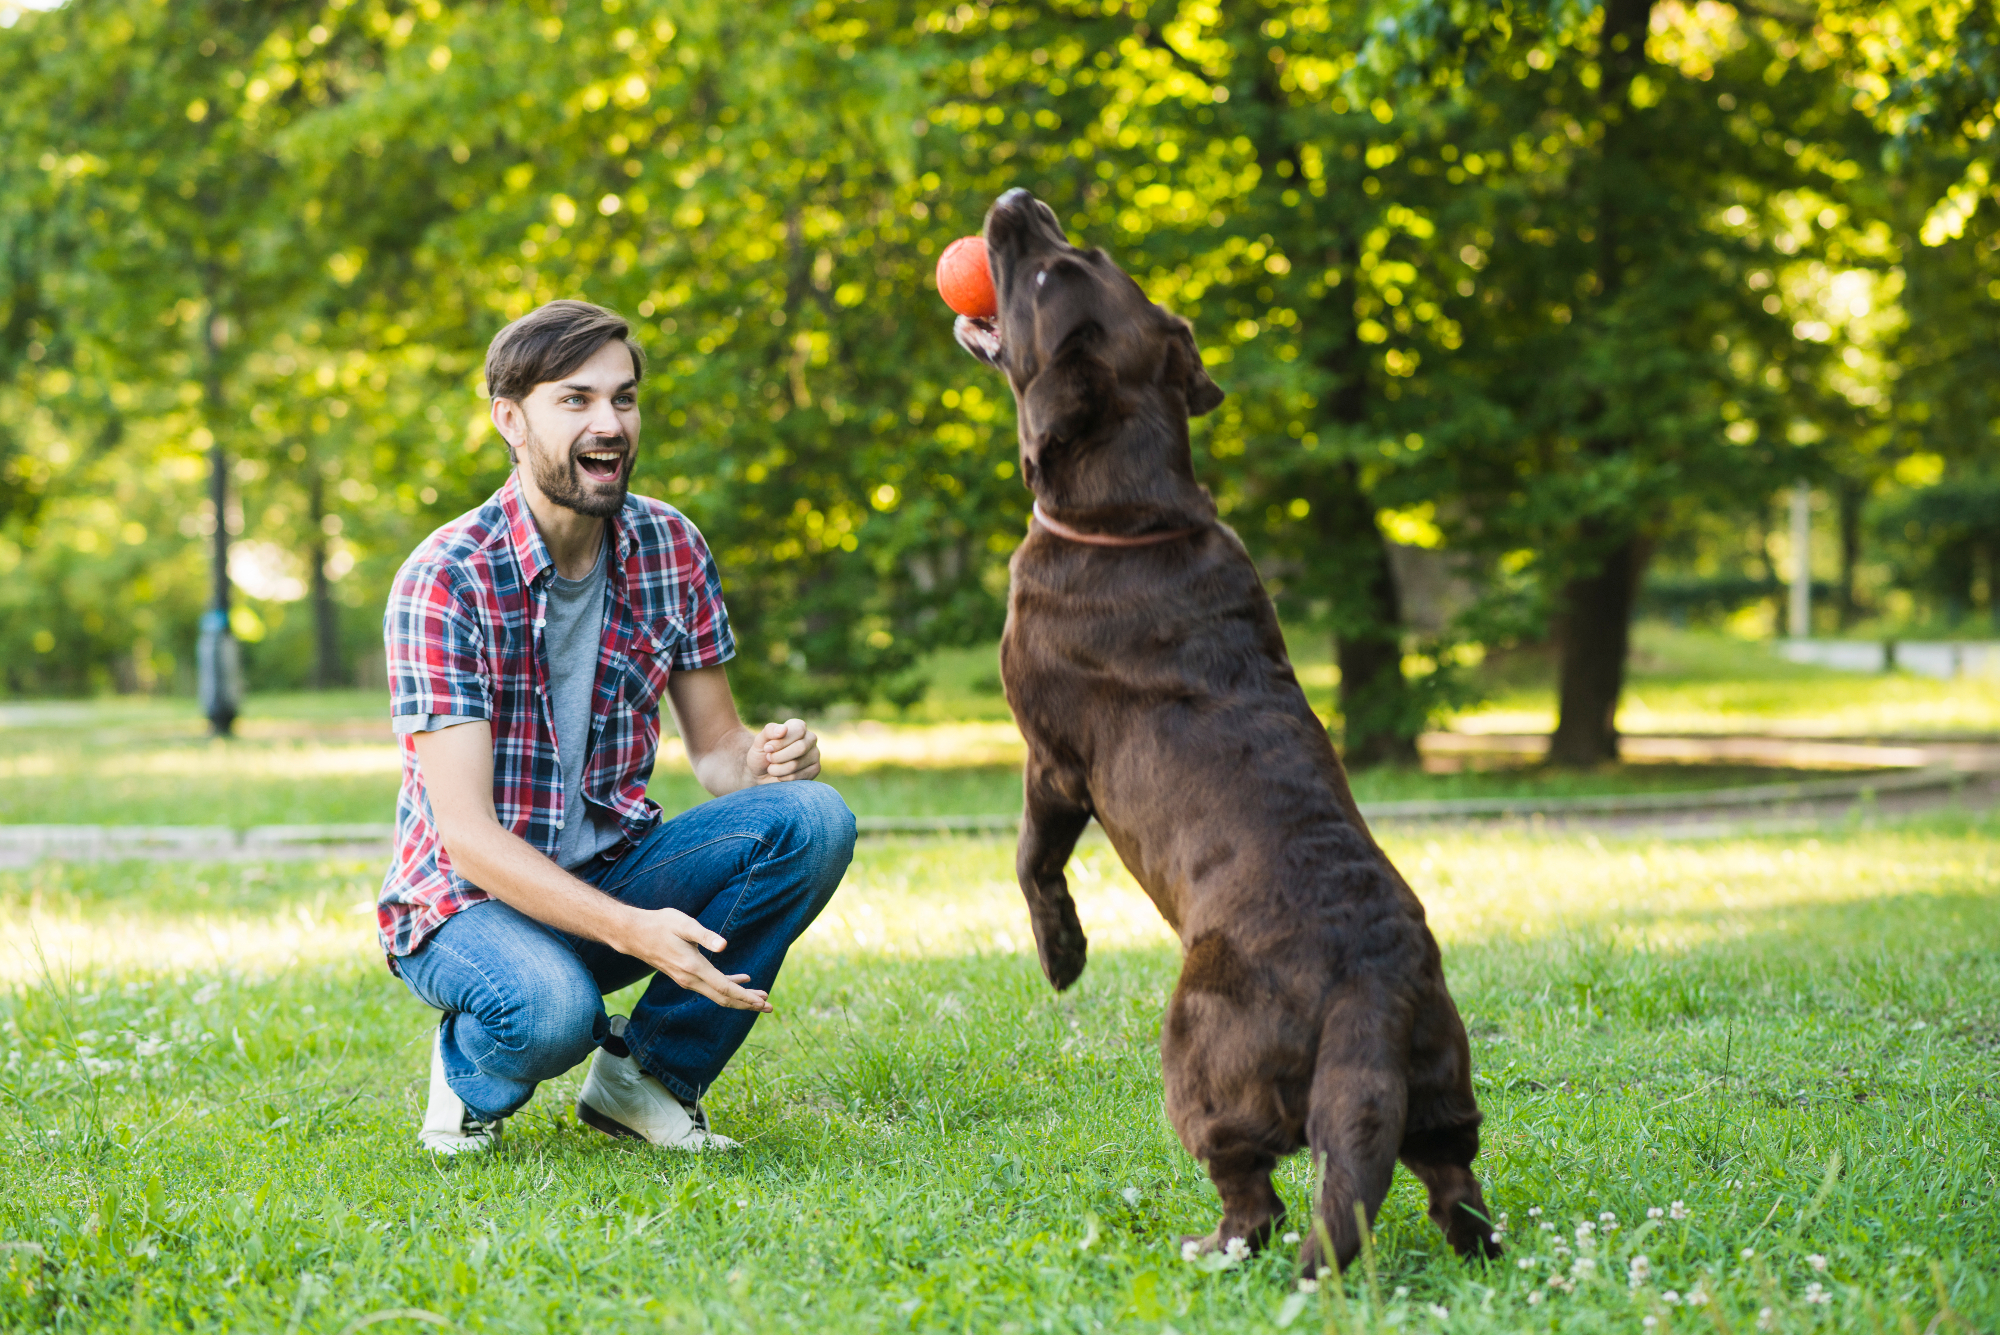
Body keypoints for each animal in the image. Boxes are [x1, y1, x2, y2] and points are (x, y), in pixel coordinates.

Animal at [956, 192, 1504, 1279]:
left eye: (1042, 272)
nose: (1017, 201)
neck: (1133, 512)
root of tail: (1371, 986)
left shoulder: (1052, 762)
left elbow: (1033, 861)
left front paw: (1062, 956)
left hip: (1197, 1051)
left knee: (1255, 1194)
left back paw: (1209, 1245)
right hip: (1440, 1082)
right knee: (1449, 1181)